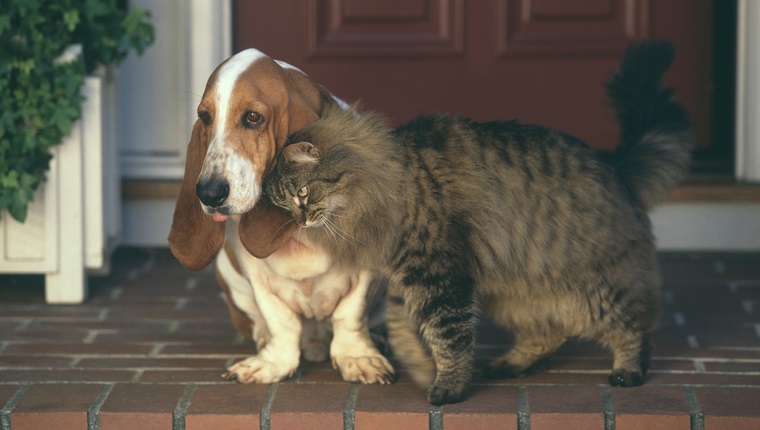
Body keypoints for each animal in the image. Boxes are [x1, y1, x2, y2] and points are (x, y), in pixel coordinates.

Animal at [166, 49, 392, 382]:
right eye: (205, 117)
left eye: (253, 117)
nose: (208, 193)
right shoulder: (254, 271)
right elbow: (280, 320)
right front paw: (273, 363)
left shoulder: (367, 267)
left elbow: (351, 312)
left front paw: (358, 357)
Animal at [264, 42, 692, 404]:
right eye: (285, 208)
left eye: (303, 194)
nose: (302, 219)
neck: (386, 175)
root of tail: (614, 164)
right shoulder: (407, 281)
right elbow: (405, 333)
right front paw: (421, 367)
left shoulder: (437, 274)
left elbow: (448, 337)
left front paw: (447, 387)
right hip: (515, 293)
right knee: (550, 332)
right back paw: (509, 365)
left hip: (595, 287)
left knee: (634, 325)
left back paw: (628, 371)